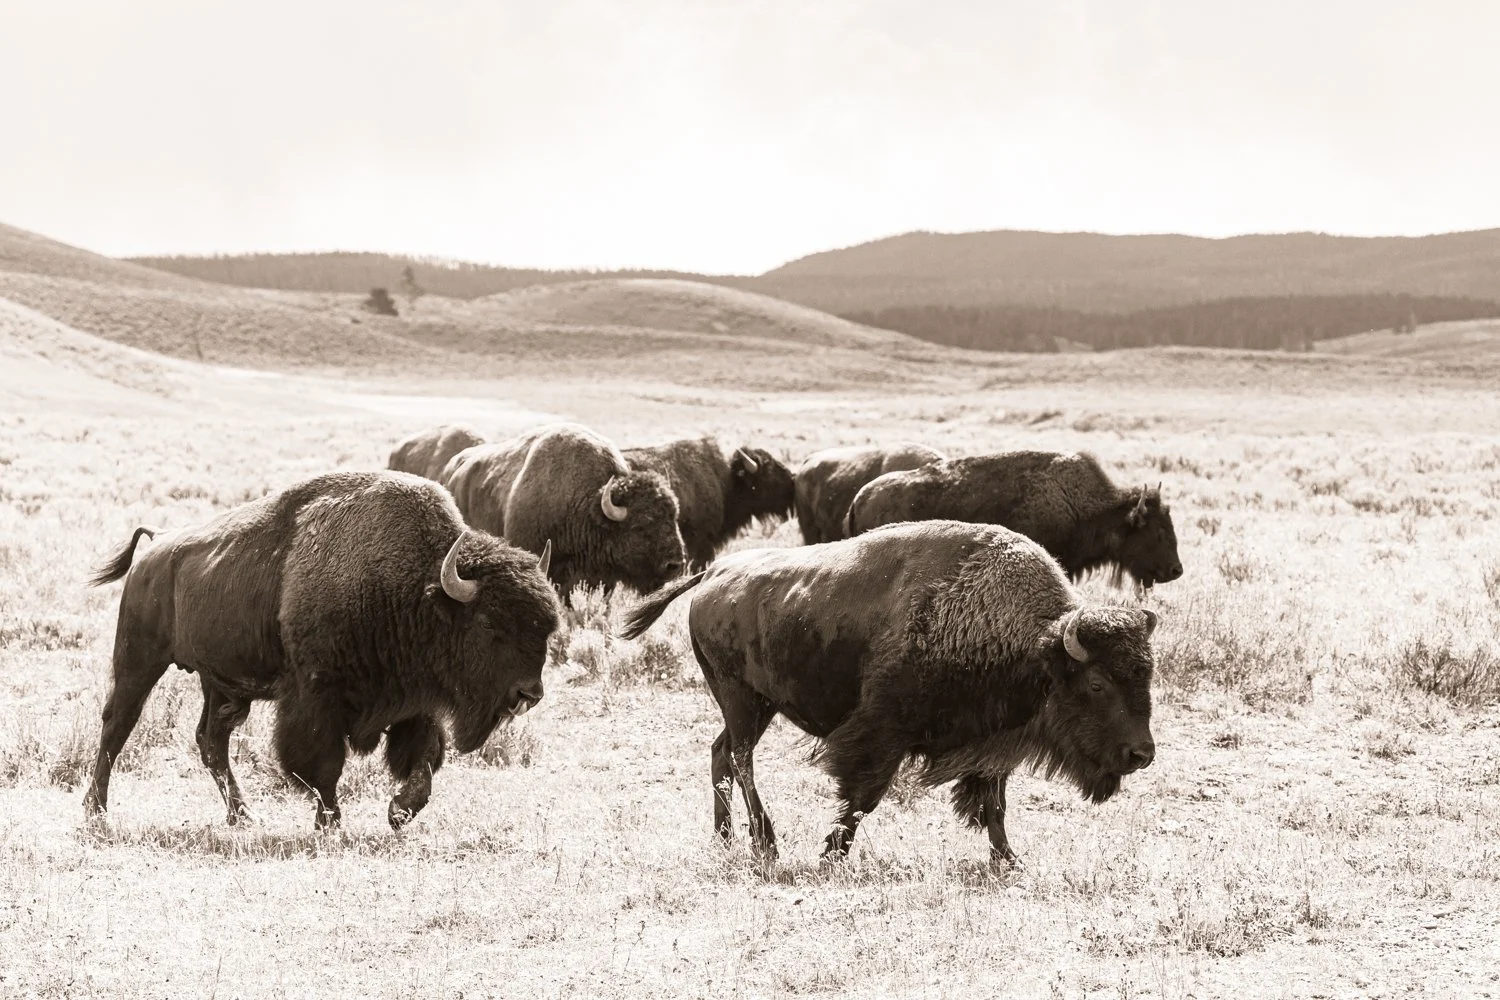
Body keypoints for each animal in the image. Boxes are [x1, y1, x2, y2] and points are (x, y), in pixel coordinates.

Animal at [85, 471, 560, 830]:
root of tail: (156, 548)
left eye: (548, 629)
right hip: (139, 662)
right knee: (116, 727)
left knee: (211, 742)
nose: (529, 694)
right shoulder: (317, 698)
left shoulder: (411, 701)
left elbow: (424, 759)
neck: (418, 588)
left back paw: (242, 816)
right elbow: (323, 764)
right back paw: (96, 811)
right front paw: (329, 822)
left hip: (220, 684)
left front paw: (399, 811)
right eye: (490, 624)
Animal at [619, 520, 1159, 864]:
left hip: (756, 703)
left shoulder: (990, 744)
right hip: (741, 698)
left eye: (1147, 677)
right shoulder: (881, 735)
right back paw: (766, 844)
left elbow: (994, 804)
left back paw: (726, 838)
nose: (1142, 754)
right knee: (742, 759)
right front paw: (832, 855)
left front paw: (1009, 859)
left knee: (721, 753)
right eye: (1097, 683)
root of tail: (713, 574)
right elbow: (863, 798)